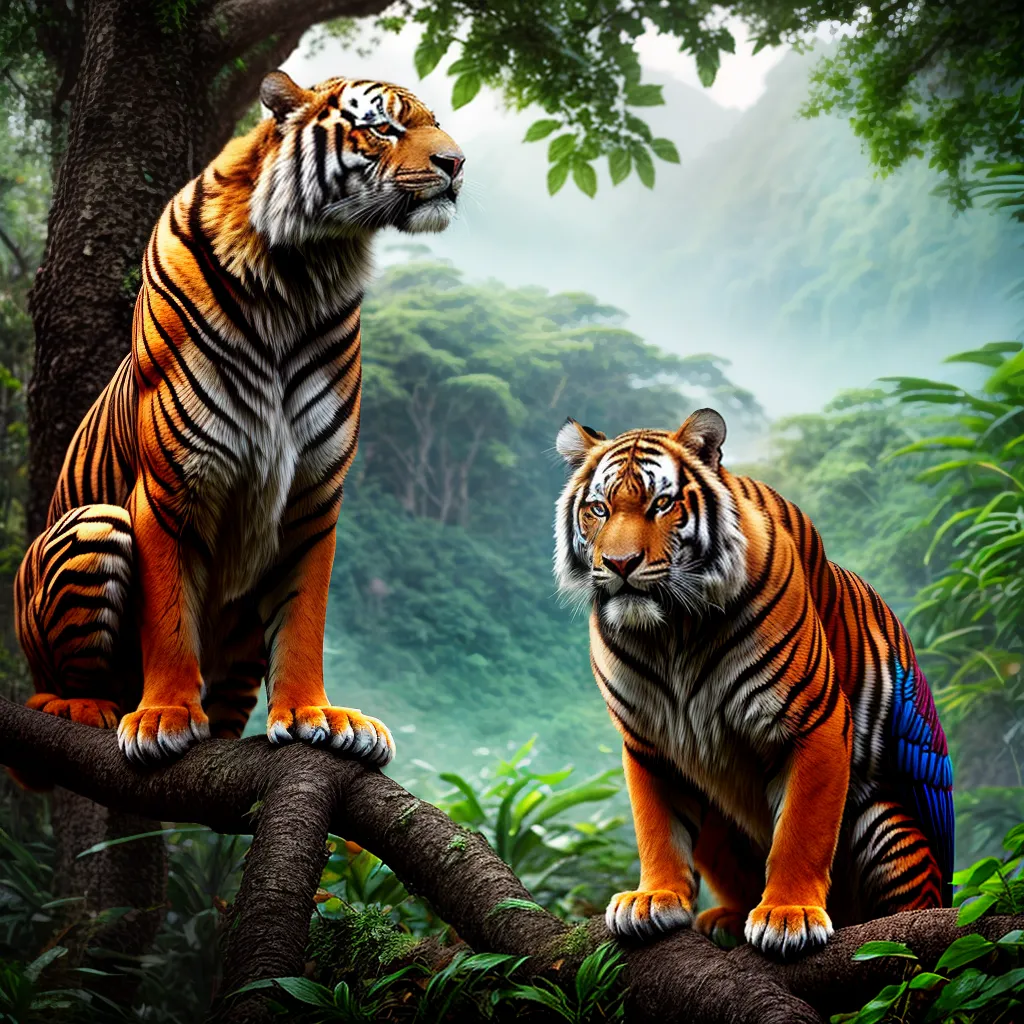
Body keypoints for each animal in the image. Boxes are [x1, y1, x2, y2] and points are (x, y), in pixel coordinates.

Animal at [13, 70, 464, 769]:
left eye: (434, 124)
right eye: (383, 127)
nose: (456, 163)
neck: (304, 271)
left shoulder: (313, 492)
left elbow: (305, 617)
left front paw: (314, 713)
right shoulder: (170, 483)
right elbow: (169, 614)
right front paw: (165, 714)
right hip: (92, 526)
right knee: (57, 683)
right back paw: (85, 707)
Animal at [553, 408, 953, 960]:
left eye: (662, 504)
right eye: (599, 508)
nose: (619, 564)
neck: (672, 632)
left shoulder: (813, 721)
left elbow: (800, 831)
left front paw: (789, 914)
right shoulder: (648, 740)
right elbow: (657, 825)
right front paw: (653, 898)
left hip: (890, 820)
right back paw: (724, 919)